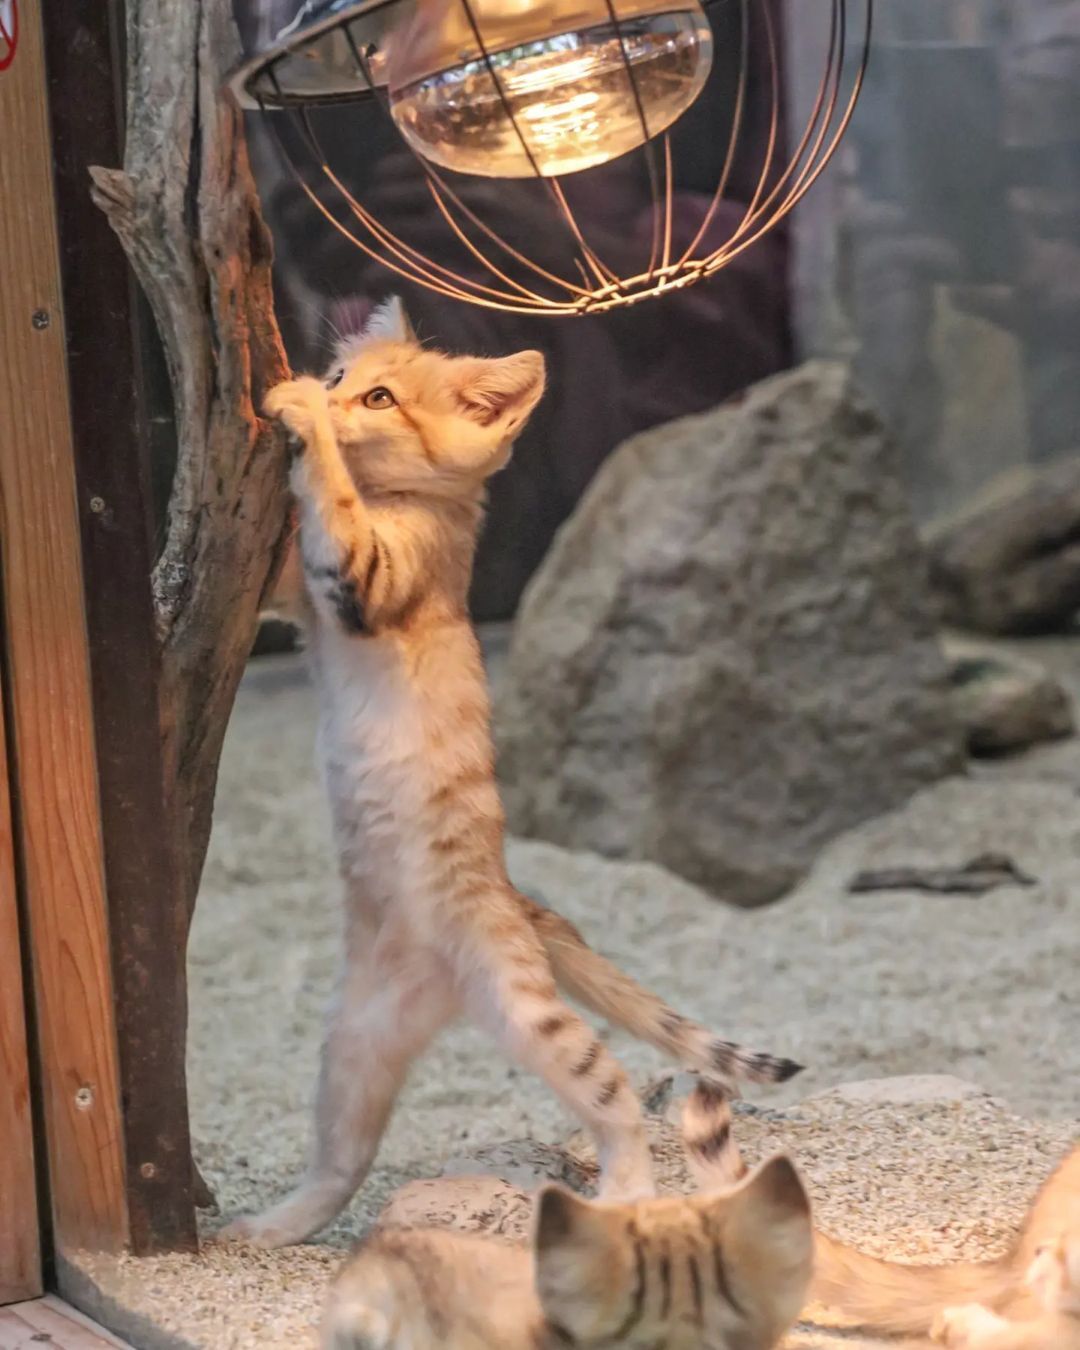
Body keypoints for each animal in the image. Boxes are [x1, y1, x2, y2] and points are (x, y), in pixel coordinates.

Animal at [221, 301, 799, 1247]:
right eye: (349, 376)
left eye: (378, 397)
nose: (329, 390)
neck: (411, 503)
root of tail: (520, 904)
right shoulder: (297, 598)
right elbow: (285, 561)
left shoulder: (368, 578)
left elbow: (333, 499)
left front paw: (300, 417)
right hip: (351, 1045)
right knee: (341, 1162)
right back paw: (271, 1228)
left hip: (529, 1012)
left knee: (618, 1102)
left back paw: (624, 1197)